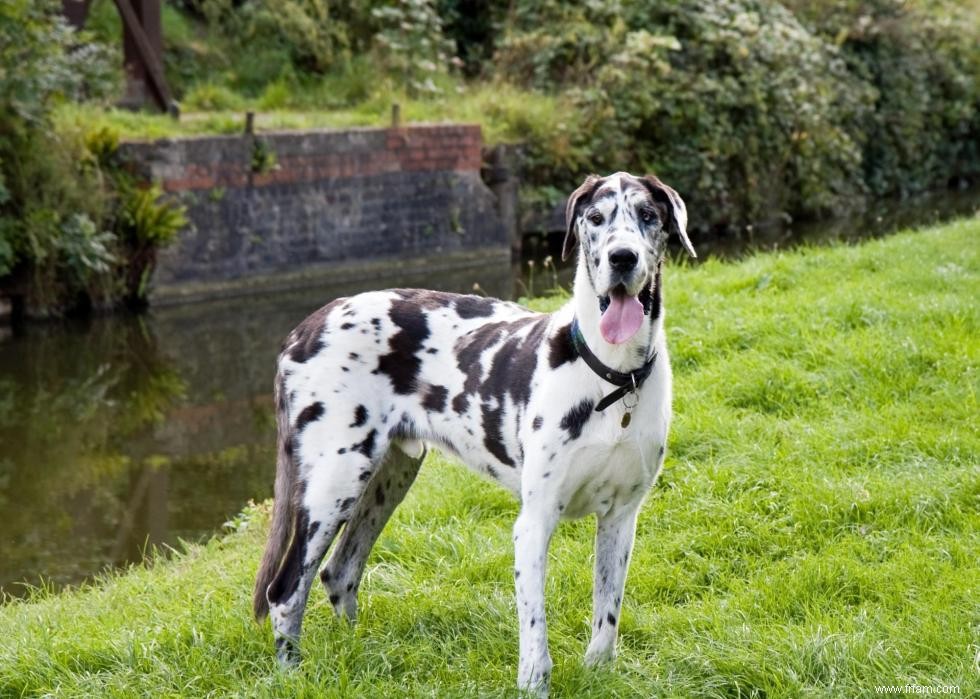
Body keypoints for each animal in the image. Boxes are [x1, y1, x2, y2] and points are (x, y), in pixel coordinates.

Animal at [253, 171, 696, 696]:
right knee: (285, 592)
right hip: (333, 483)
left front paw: (599, 674)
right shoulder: (534, 522)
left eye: (648, 215)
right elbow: (535, 639)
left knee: (339, 574)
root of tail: (306, 325)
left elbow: (606, 617)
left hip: (389, 479)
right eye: (595, 218)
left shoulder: (621, 518)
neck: (613, 377)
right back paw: (293, 674)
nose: (622, 257)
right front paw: (534, 683)